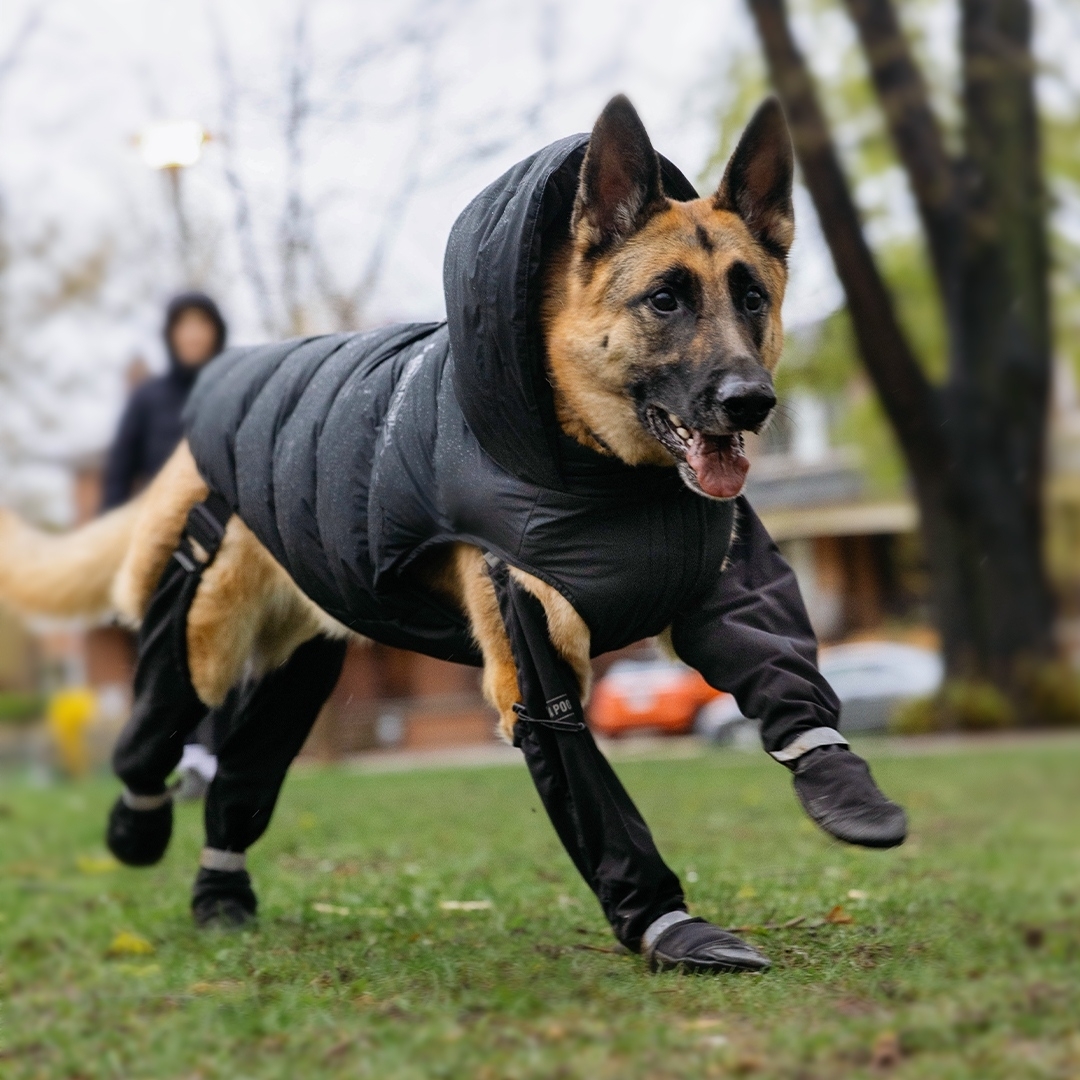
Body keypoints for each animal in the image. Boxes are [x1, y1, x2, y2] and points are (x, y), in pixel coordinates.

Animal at [0, 97, 794, 743]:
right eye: (665, 300)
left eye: (752, 298)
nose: (752, 403)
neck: (606, 478)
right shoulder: (534, 677)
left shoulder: (737, 615)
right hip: (201, 651)